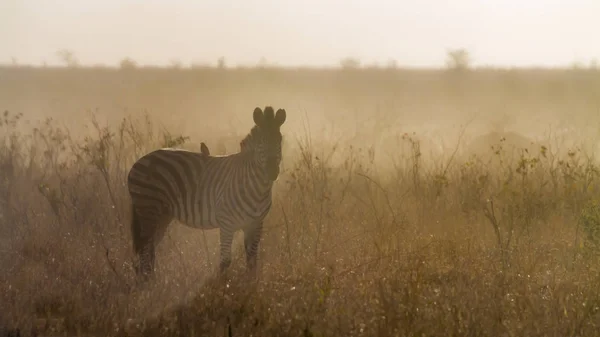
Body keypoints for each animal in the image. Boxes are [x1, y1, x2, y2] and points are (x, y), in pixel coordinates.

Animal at [126, 107, 286, 278]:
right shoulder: (226, 223)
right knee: (145, 251)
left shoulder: (256, 224)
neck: (258, 188)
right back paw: (148, 283)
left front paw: (251, 282)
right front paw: (223, 284)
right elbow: (225, 261)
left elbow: (252, 260)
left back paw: (149, 281)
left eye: (279, 141)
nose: (272, 172)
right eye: (261, 142)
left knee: (149, 251)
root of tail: (136, 163)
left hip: (163, 215)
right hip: (148, 208)